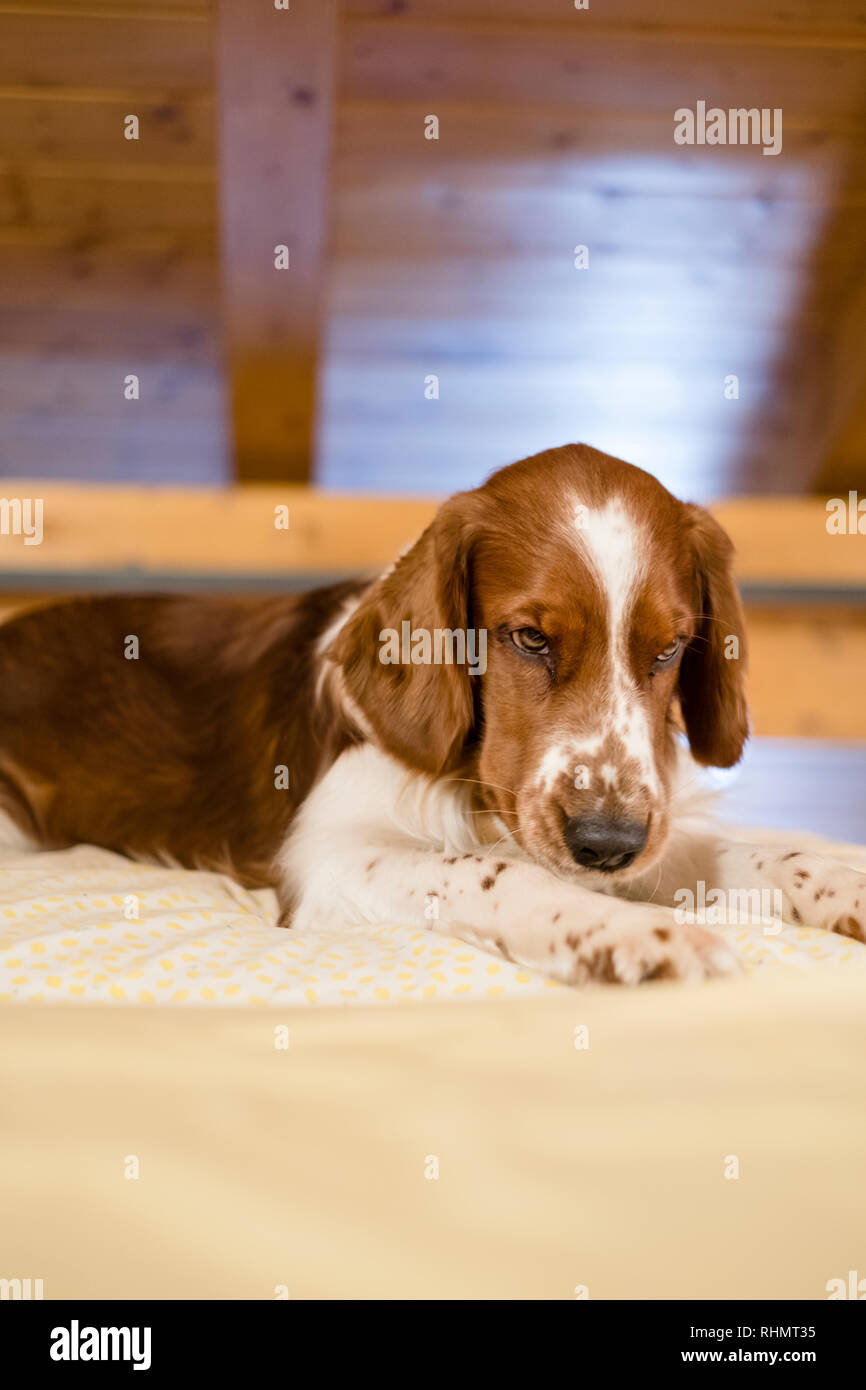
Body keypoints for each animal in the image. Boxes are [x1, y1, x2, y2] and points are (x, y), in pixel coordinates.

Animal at [1, 447, 866, 989]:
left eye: (670, 649)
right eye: (530, 638)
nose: (605, 845)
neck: (470, 784)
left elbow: (739, 851)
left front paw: (841, 881)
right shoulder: (327, 863)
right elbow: (492, 871)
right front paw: (630, 935)